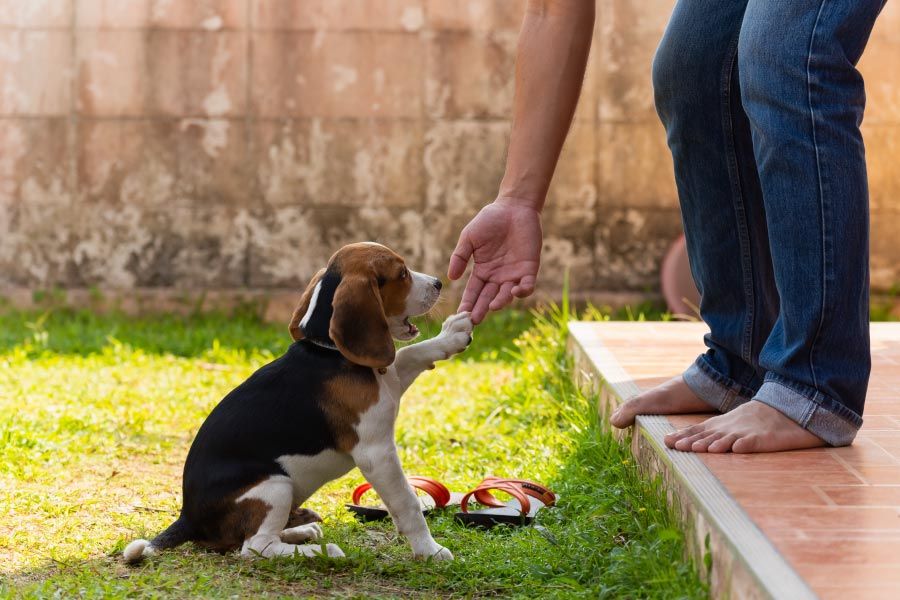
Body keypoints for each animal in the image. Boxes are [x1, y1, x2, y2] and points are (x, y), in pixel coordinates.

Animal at [124, 243, 474, 564]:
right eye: (401, 273)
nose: (438, 283)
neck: (329, 351)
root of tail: (188, 518)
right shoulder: (376, 452)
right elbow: (407, 503)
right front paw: (430, 550)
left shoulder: (389, 380)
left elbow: (412, 353)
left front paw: (452, 335)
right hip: (275, 486)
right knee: (255, 547)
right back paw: (322, 551)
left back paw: (301, 531)